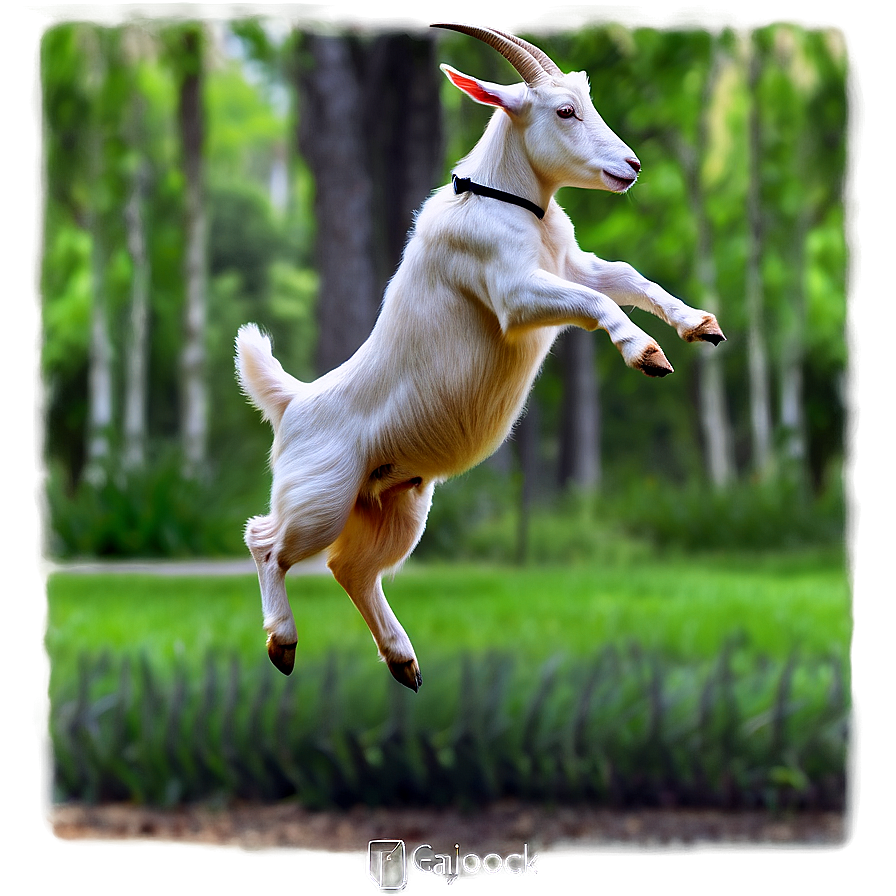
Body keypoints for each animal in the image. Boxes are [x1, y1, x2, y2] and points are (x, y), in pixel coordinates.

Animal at [235, 22, 725, 691]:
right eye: (564, 110)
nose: (630, 166)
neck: (503, 201)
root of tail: (292, 401)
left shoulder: (570, 264)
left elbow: (623, 275)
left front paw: (700, 325)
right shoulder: (515, 293)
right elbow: (596, 300)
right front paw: (645, 352)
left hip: (398, 504)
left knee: (352, 570)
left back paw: (403, 662)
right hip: (322, 495)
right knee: (267, 541)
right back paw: (283, 644)